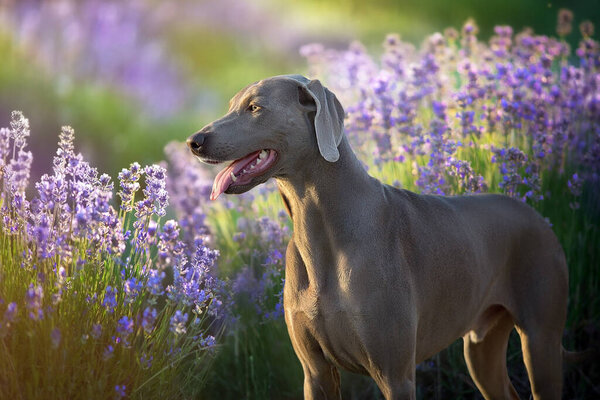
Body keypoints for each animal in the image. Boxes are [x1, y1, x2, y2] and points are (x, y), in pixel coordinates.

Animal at [186, 76, 572, 400]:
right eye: (232, 105)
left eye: (255, 107)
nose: (194, 141)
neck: (321, 230)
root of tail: (537, 215)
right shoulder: (315, 373)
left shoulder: (395, 374)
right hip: (481, 346)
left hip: (540, 340)